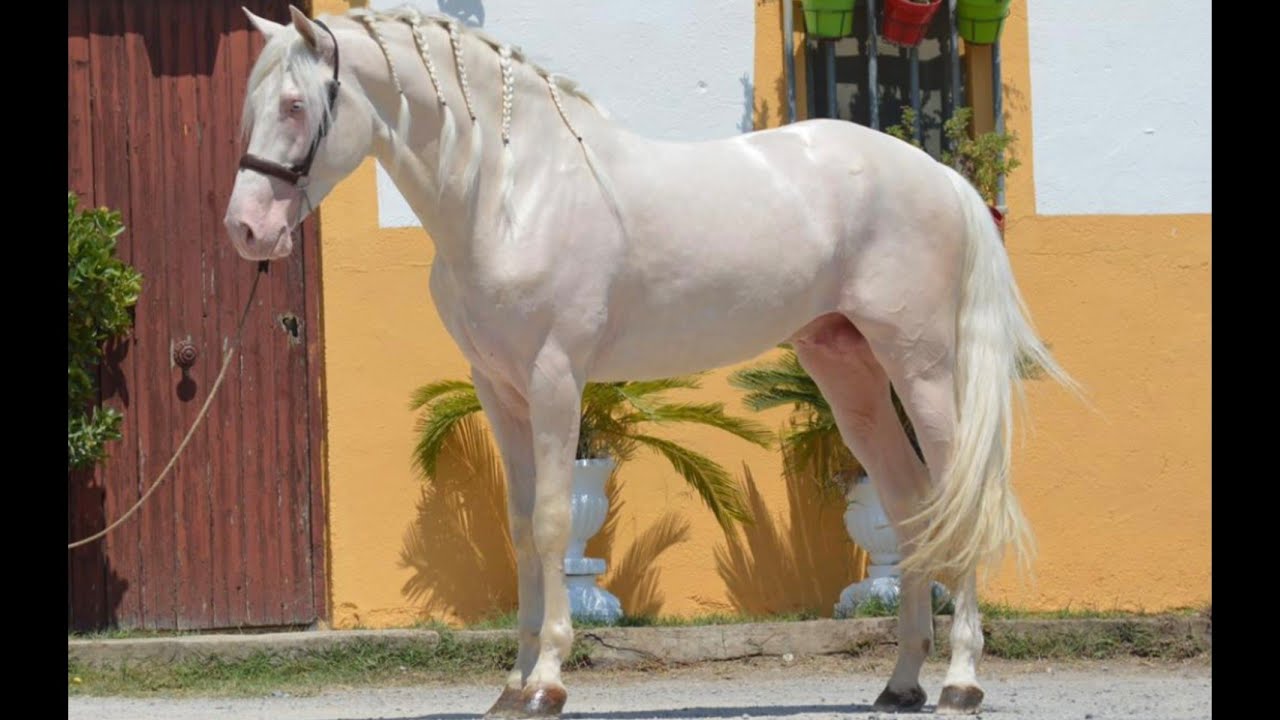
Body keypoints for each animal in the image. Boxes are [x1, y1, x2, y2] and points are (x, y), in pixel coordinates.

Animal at [224, 6, 1078, 717]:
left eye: (295, 106)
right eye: (251, 104)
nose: (245, 230)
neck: (510, 193)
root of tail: (941, 174)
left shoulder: (554, 379)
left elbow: (548, 522)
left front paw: (547, 683)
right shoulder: (498, 388)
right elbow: (517, 526)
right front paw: (512, 685)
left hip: (922, 364)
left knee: (958, 498)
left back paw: (961, 681)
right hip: (849, 371)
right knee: (908, 505)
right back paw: (901, 683)